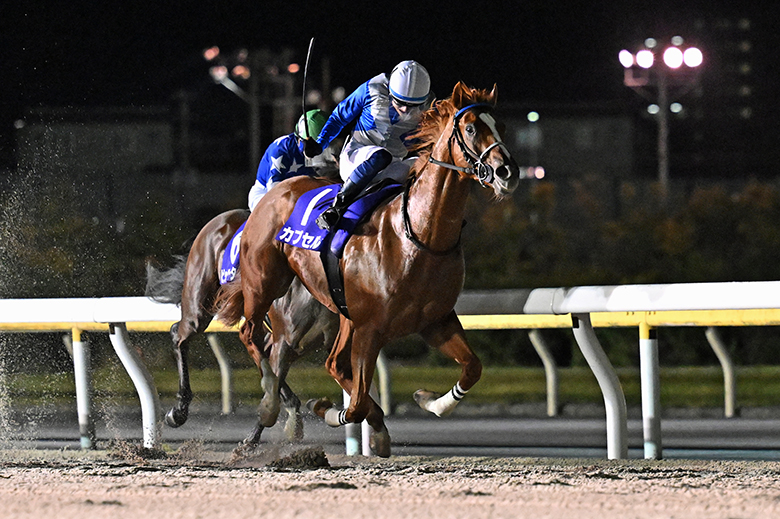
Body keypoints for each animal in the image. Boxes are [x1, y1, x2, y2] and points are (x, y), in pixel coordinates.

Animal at [213, 82, 516, 460]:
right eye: (472, 128)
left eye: (500, 126)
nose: (507, 172)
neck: (419, 235)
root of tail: (276, 191)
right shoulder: (370, 328)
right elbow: (355, 403)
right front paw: (329, 410)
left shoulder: (436, 321)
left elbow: (472, 368)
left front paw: (429, 401)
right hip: (266, 284)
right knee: (252, 334)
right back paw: (269, 402)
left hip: (337, 313)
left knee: (330, 362)